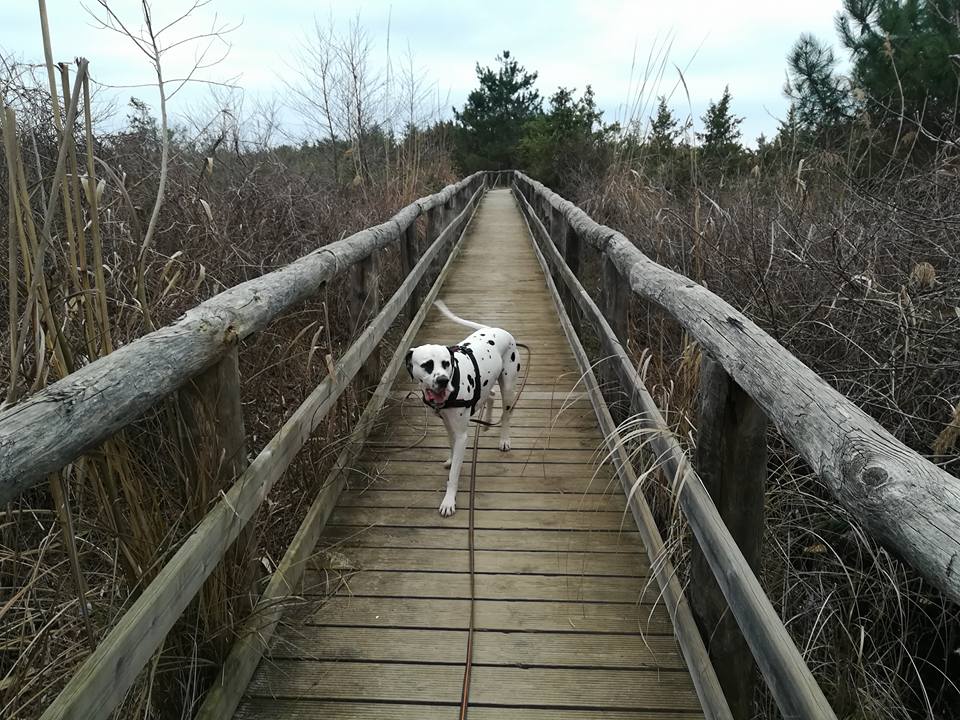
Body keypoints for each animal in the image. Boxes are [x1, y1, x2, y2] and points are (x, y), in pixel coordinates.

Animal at [406, 300, 524, 516]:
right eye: (427, 365)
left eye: (446, 363)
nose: (443, 381)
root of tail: (494, 329)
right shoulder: (448, 425)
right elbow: (452, 447)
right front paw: (452, 459)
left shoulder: (462, 435)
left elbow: (454, 475)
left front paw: (448, 501)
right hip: (487, 386)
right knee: (490, 396)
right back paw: (486, 423)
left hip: (509, 387)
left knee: (507, 413)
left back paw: (504, 439)